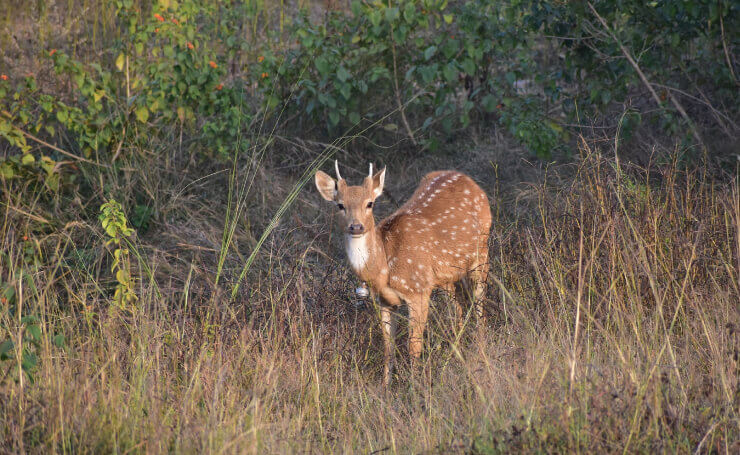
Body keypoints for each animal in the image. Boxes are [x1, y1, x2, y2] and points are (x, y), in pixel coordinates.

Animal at [314, 162, 492, 382]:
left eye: (370, 203)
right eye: (340, 205)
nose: (356, 226)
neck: (384, 267)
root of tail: (468, 179)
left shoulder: (418, 291)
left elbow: (413, 346)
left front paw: (415, 384)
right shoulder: (384, 301)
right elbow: (388, 348)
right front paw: (386, 385)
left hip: (481, 252)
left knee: (479, 304)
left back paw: (480, 352)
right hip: (445, 275)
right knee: (457, 306)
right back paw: (455, 349)